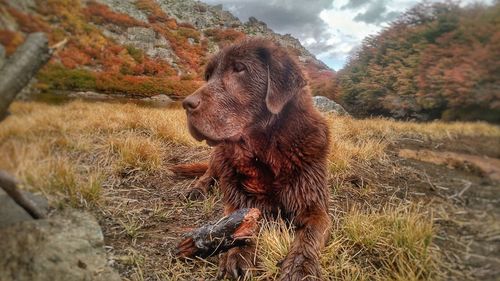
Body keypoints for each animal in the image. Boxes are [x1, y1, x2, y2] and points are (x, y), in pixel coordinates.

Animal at [179, 37, 328, 280]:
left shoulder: (314, 207)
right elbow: (236, 225)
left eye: (239, 68)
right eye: (208, 76)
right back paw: (196, 188)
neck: (265, 154)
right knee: (208, 173)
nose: (186, 104)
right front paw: (237, 254)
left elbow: (310, 235)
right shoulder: (238, 200)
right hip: (218, 155)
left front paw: (300, 266)